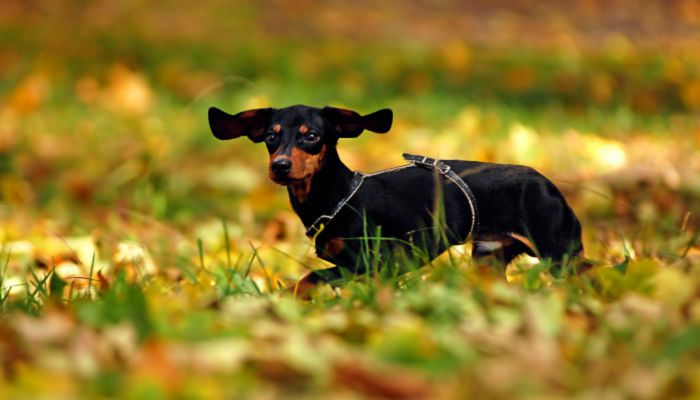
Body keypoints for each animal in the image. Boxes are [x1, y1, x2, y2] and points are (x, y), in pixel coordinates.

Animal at [206, 106, 580, 292]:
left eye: (311, 136)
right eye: (270, 137)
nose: (280, 167)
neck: (338, 197)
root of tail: (548, 184)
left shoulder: (378, 263)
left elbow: (311, 278)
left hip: (559, 255)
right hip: (489, 260)